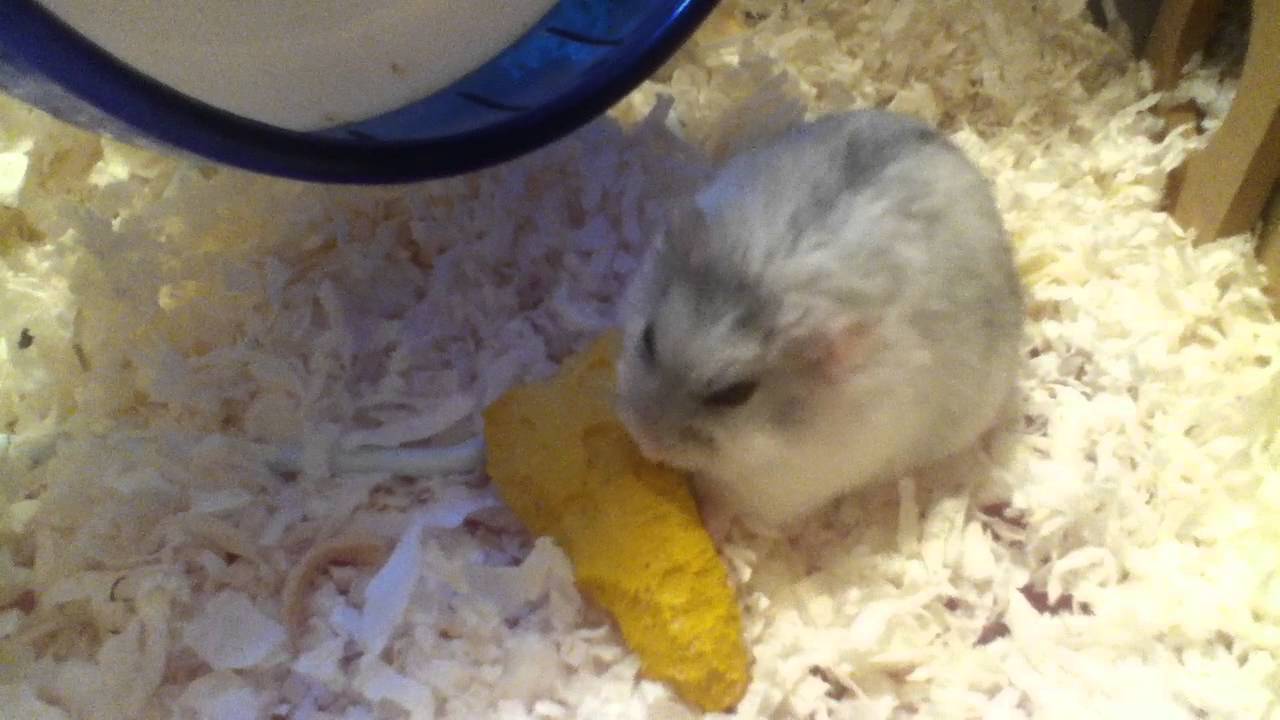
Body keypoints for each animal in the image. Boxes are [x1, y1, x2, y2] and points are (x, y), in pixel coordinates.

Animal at [614, 109, 1025, 530]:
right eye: (647, 339)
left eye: (735, 394)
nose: (645, 441)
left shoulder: (785, 486)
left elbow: (728, 502)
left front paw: (711, 520)